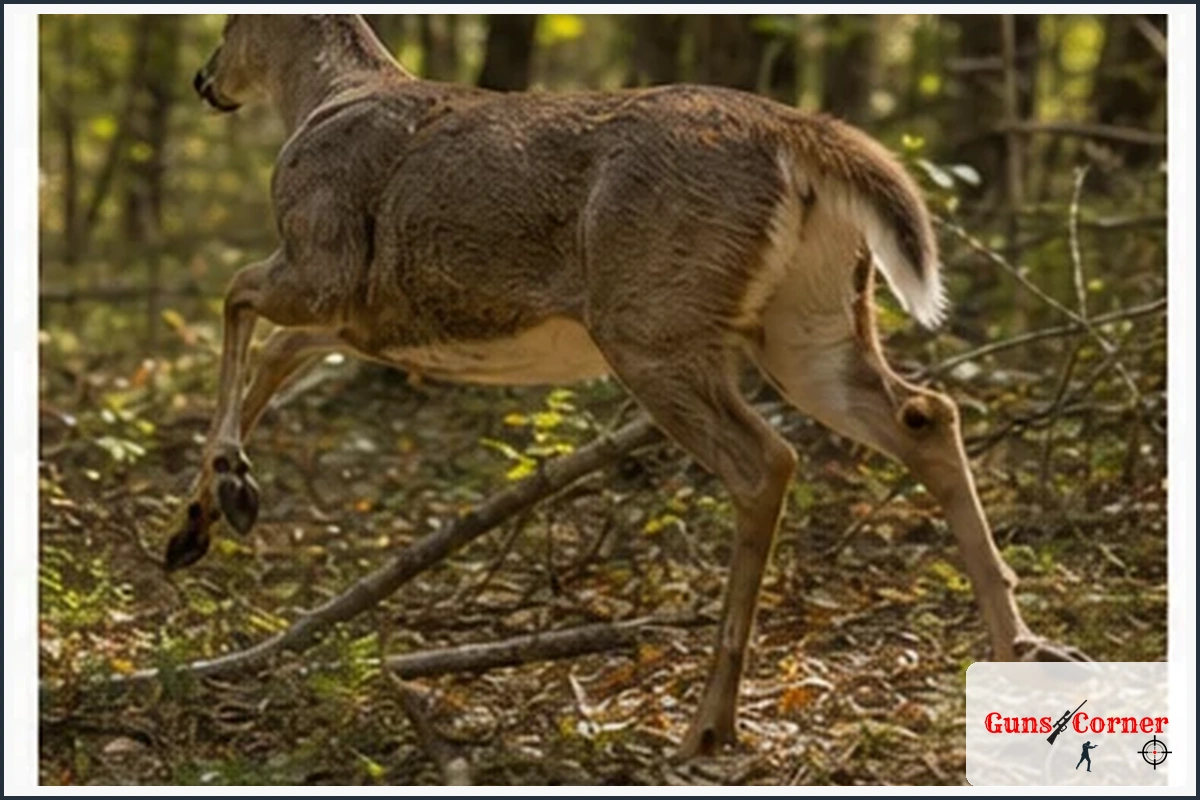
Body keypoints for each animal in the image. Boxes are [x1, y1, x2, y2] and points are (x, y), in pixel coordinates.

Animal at [171, 14, 1089, 759]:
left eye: (227, 19)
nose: (204, 79)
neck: (320, 99)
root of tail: (798, 132)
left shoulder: (326, 260)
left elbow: (234, 299)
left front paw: (225, 490)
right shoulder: (368, 318)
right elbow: (273, 357)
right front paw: (201, 519)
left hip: (650, 323)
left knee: (766, 460)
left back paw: (710, 722)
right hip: (809, 319)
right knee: (926, 412)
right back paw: (1025, 644)